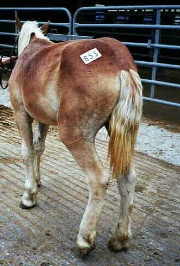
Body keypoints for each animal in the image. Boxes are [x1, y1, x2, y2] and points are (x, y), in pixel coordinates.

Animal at [8, 17, 143, 256]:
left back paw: (85, 239)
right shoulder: (43, 119)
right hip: (121, 136)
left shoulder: (21, 114)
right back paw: (120, 238)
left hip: (75, 136)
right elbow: (38, 148)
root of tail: (121, 65)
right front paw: (37, 180)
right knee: (127, 178)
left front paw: (29, 195)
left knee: (98, 179)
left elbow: (27, 151)